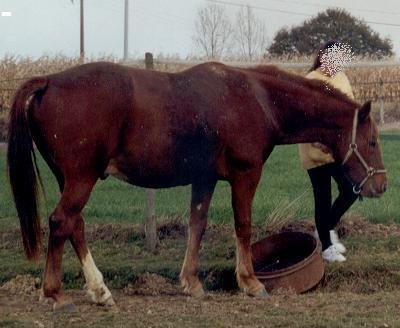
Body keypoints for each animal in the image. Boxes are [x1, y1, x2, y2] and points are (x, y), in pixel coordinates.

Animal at [7, 62, 386, 310]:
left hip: (70, 180)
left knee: (74, 225)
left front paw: (191, 282)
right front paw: (250, 282)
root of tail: (49, 82)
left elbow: (197, 225)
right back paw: (55, 293)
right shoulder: (245, 175)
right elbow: (243, 225)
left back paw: (98, 290)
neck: (257, 97)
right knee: (61, 222)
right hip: (81, 179)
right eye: (371, 142)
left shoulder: (204, 179)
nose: (380, 185)